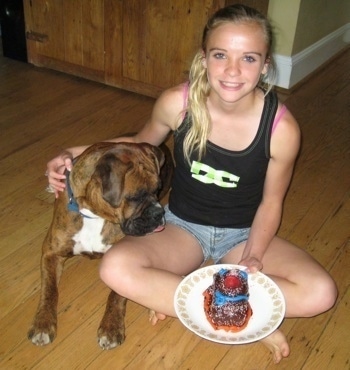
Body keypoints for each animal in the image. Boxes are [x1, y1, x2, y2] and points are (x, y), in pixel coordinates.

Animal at [27, 142, 174, 350]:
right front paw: (42, 323)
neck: (94, 214)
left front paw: (111, 328)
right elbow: (49, 290)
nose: (158, 213)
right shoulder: (51, 253)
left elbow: (116, 295)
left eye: (157, 189)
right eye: (135, 197)